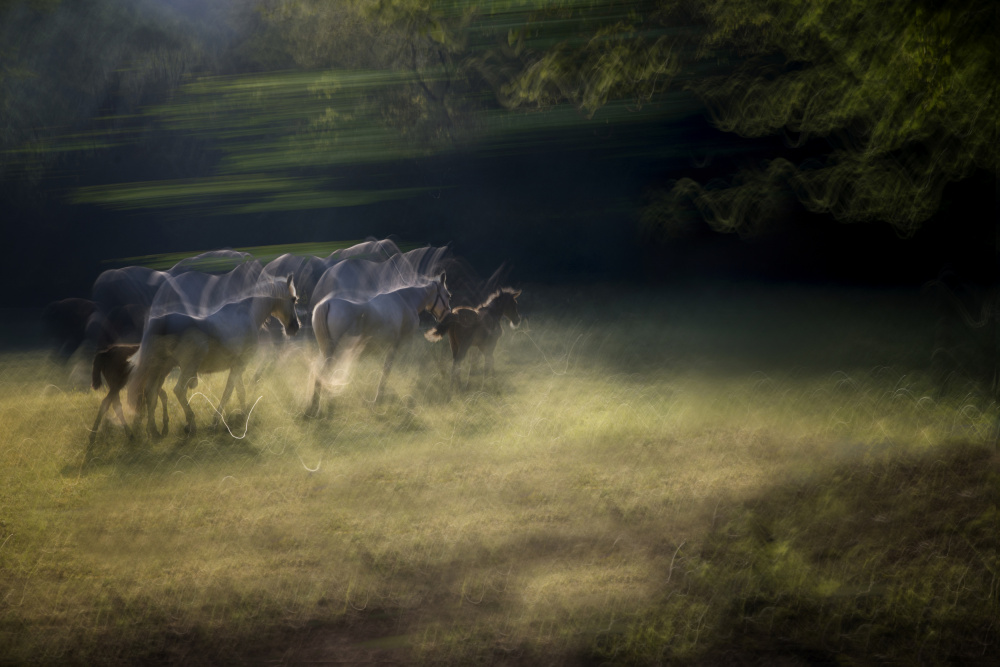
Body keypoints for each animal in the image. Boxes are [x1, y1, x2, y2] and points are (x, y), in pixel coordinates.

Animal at [125, 276, 298, 438]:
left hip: (162, 368)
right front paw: (221, 420)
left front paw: (241, 416)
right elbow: (230, 392)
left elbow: (238, 391)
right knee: (178, 390)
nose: (294, 327)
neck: (248, 314)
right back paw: (190, 425)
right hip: (186, 368)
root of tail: (161, 322)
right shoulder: (239, 365)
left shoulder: (236, 366)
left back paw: (154, 431)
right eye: (293, 299)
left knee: (151, 392)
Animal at [306, 274, 452, 414]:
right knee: (323, 374)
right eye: (448, 295)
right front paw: (381, 398)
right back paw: (319, 407)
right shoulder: (399, 345)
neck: (406, 301)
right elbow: (391, 370)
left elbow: (384, 369)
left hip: (326, 350)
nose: (447, 316)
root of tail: (327, 303)